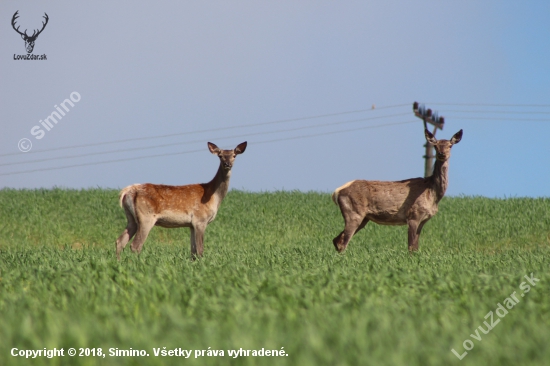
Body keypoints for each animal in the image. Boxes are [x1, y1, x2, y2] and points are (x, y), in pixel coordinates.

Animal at [115, 141, 247, 260]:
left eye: (234, 155)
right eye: (220, 155)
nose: (227, 164)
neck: (213, 196)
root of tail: (128, 191)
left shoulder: (191, 225)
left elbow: (193, 252)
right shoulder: (200, 220)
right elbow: (200, 250)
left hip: (131, 218)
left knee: (119, 241)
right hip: (146, 216)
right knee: (135, 245)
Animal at [332, 130, 466, 253]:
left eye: (450, 145)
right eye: (435, 145)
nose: (441, 154)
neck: (432, 194)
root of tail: (337, 192)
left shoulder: (423, 220)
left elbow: (416, 247)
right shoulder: (413, 215)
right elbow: (411, 247)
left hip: (363, 218)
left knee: (336, 239)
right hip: (353, 212)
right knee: (343, 242)